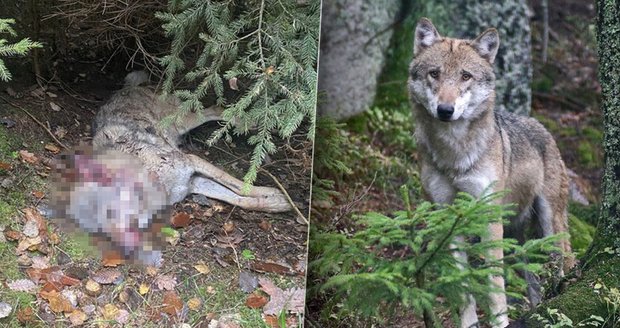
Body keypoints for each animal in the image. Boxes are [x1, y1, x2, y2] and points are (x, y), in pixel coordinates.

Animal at [50, 72, 290, 266]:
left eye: (110, 212)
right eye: (99, 231)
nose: (123, 247)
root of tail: (127, 88)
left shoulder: (191, 162)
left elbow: (239, 185)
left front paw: (279, 196)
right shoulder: (192, 183)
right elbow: (238, 199)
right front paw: (275, 203)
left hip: (182, 120)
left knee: (214, 109)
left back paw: (244, 121)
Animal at [410, 18, 572, 328]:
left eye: (465, 76)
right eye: (434, 74)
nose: (445, 110)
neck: (455, 155)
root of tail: (543, 127)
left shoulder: (488, 218)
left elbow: (494, 283)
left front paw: (500, 322)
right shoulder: (450, 216)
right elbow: (463, 285)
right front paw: (469, 322)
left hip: (549, 225)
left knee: (563, 264)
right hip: (516, 240)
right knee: (533, 281)